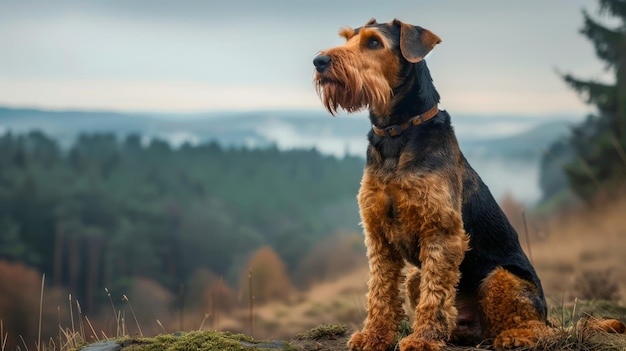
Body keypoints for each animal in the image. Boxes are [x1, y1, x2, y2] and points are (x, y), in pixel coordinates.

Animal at [312, 18, 624, 351]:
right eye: (347, 38)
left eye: (374, 43)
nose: (320, 61)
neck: (397, 133)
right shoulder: (379, 235)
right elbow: (380, 292)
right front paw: (373, 336)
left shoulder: (441, 230)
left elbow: (435, 296)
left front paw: (422, 340)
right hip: (415, 277)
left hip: (500, 277)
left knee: (539, 330)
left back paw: (513, 337)